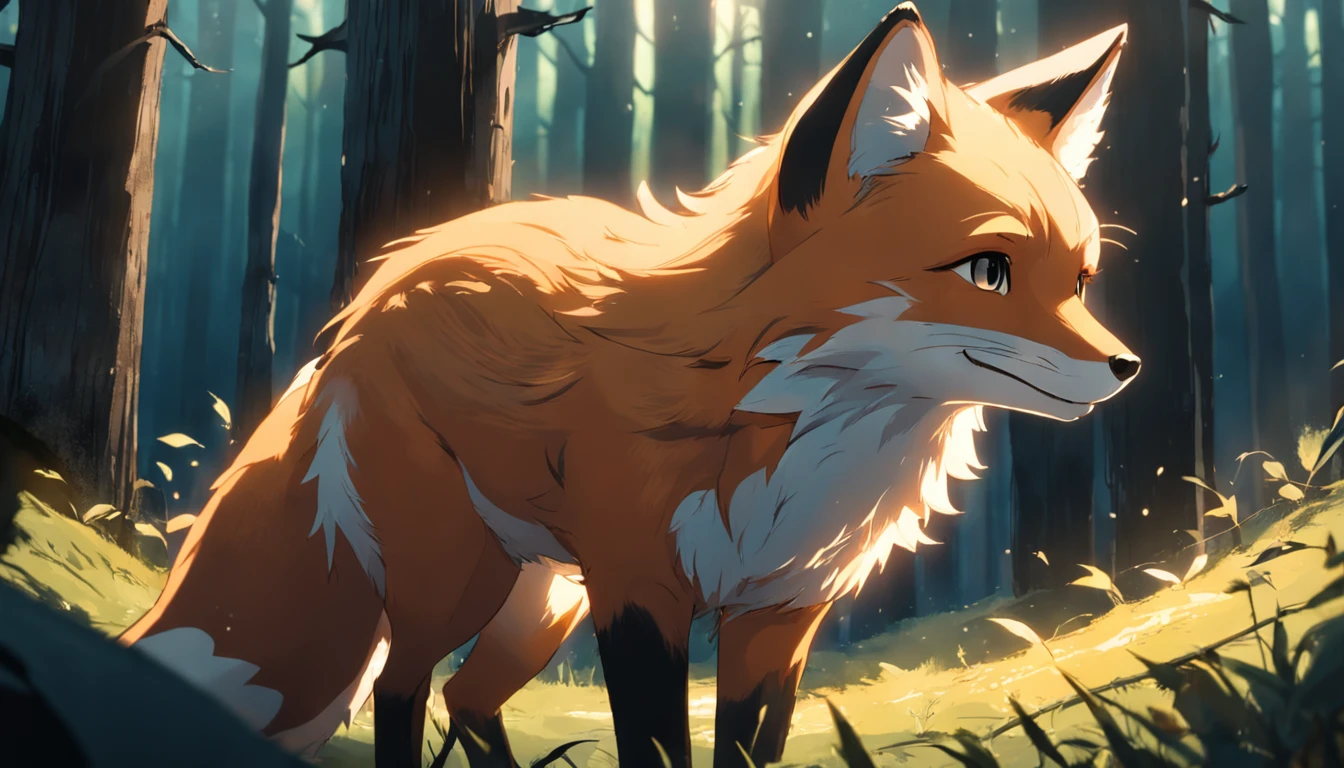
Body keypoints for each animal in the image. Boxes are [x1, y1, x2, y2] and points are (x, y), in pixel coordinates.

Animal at [120, 4, 1137, 767]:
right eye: (988, 272)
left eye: (1082, 280)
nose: (1127, 369)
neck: (794, 424)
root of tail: (375, 290)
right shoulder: (642, 593)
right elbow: (654, 748)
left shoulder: (780, 614)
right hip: (457, 575)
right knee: (403, 692)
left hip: (543, 599)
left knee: (464, 697)